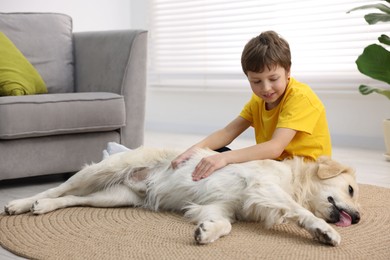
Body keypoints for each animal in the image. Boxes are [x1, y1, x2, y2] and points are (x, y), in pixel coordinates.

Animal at [4, 146, 362, 246]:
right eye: (351, 190)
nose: (357, 218)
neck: (293, 181)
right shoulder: (265, 188)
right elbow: (303, 212)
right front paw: (324, 232)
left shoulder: (221, 207)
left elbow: (224, 224)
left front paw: (206, 233)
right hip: (100, 171)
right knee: (58, 188)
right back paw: (19, 203)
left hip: (113, 197)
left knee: (71, 199)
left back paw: (42, 206)